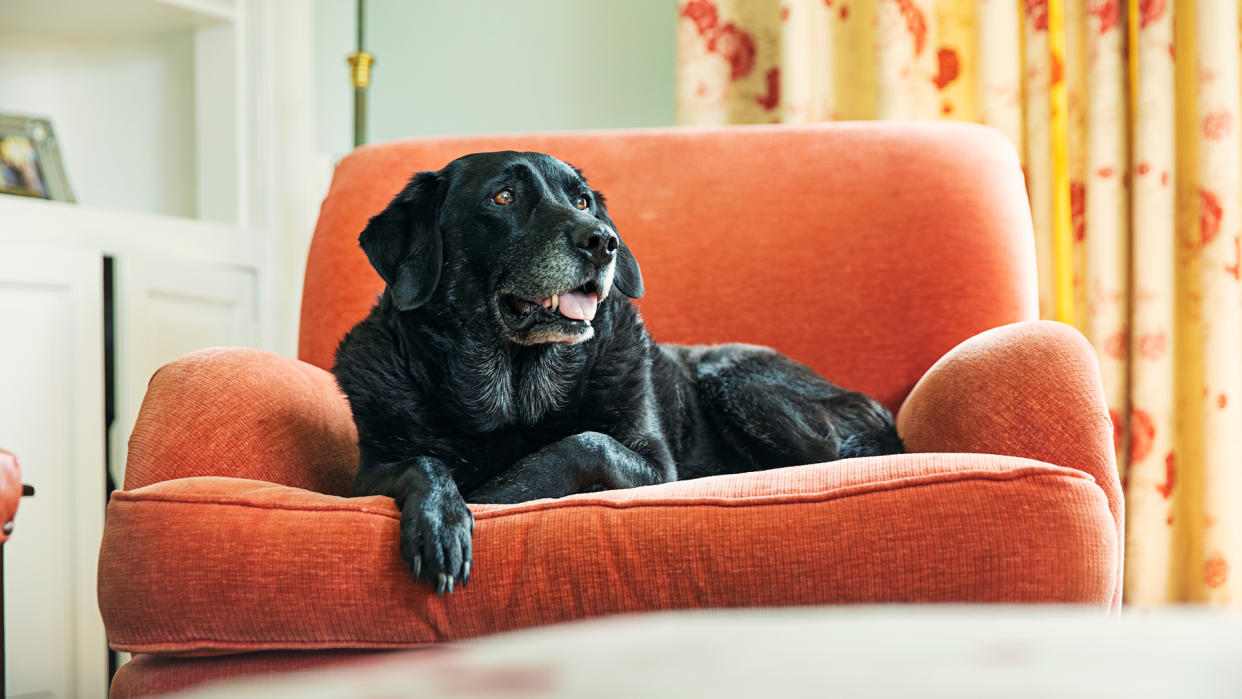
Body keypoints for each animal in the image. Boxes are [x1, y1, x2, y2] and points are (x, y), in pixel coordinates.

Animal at [332, 150, 904, 593]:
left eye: (582, 201)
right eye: (503, 198)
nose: (603, 241)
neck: (514, 396)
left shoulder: (655, 467)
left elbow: (584, 443)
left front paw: (489, 495)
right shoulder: (360, 480)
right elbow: (423, 463)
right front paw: (441, 518)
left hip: (737, 382)